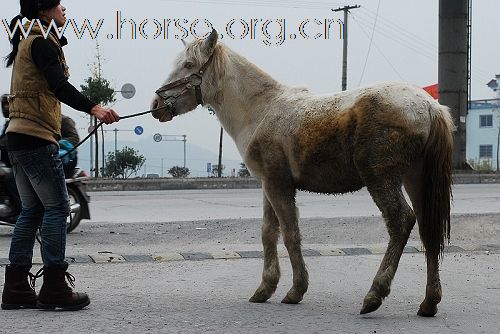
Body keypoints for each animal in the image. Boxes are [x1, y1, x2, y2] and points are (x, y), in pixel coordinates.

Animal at [150, 30, 456, 318]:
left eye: (189, 64)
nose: (155, 106)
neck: (262, 110)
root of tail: (430, 106)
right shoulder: (268, 185)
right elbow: (268, 233)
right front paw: (265, 288)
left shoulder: (278, 185)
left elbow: (290, 233)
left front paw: (296, 289)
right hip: (416, 179)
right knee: (428, 228)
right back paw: (429, 302)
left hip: (381, 178)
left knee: (401, 221)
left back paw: (374, 294)